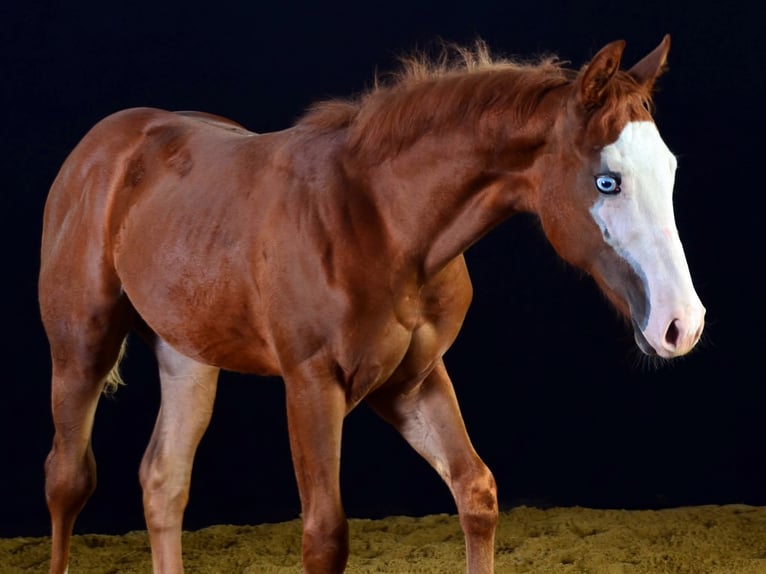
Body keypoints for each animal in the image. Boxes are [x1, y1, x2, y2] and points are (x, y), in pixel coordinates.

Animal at [39, 35, 704, 573]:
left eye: (670, 170)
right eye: (607, 181)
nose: (682, 324)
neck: (380, 218)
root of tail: (104, 145)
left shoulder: (413, 380)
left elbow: (476, 493)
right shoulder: (311, 384)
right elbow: (324, 537)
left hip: (188, 355)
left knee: (163, 480)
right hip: (81, 348)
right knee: (68, 479)